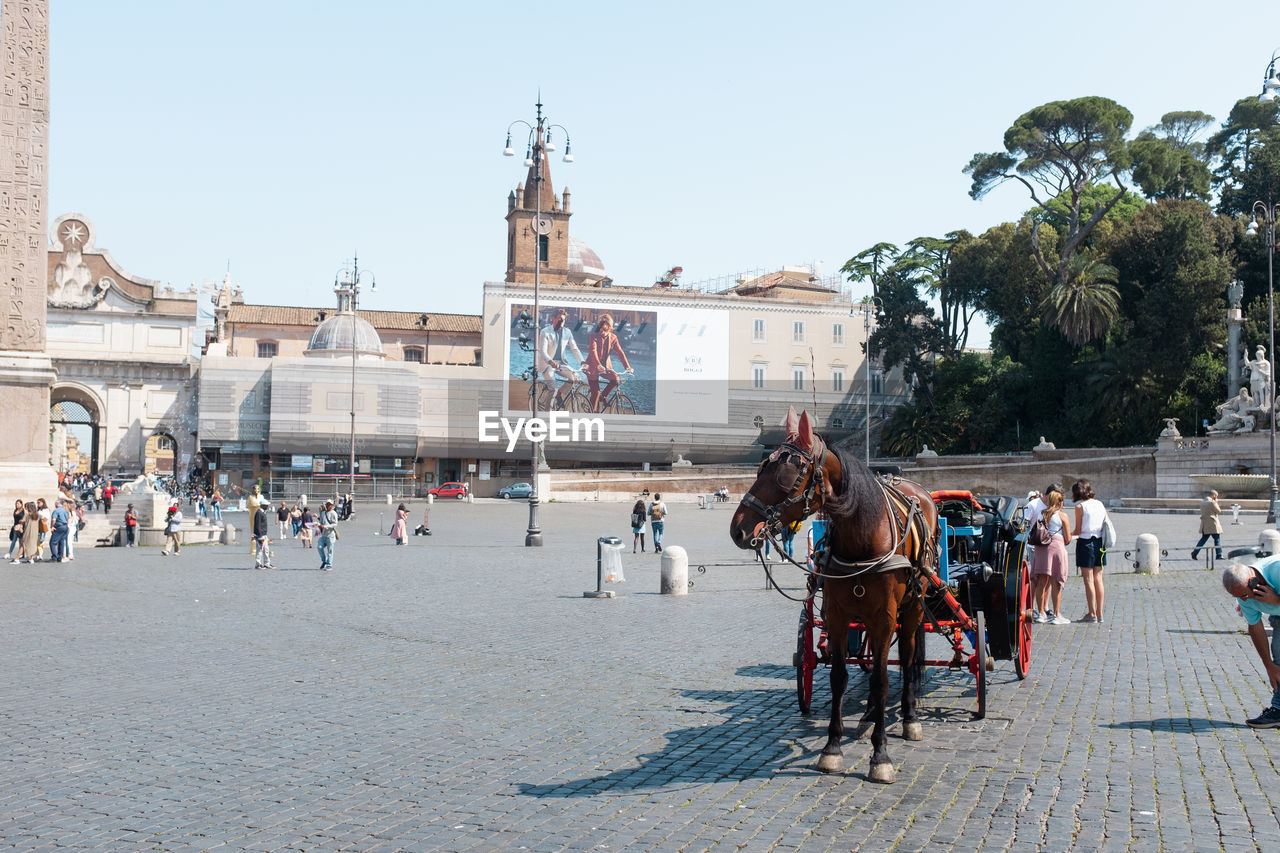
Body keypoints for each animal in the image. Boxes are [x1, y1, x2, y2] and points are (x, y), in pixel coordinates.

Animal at [732, 409, 942, 778]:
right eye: (759, 469)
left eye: (785, 476)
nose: (738, 529)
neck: (862, 535)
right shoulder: (839, 615)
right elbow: (840, 676)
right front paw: (832, 747)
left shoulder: (885, 616)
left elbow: (882, 679)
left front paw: (880, 755)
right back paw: (870, 715)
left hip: (912, 607)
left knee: (906, 658)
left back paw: (909, 718)